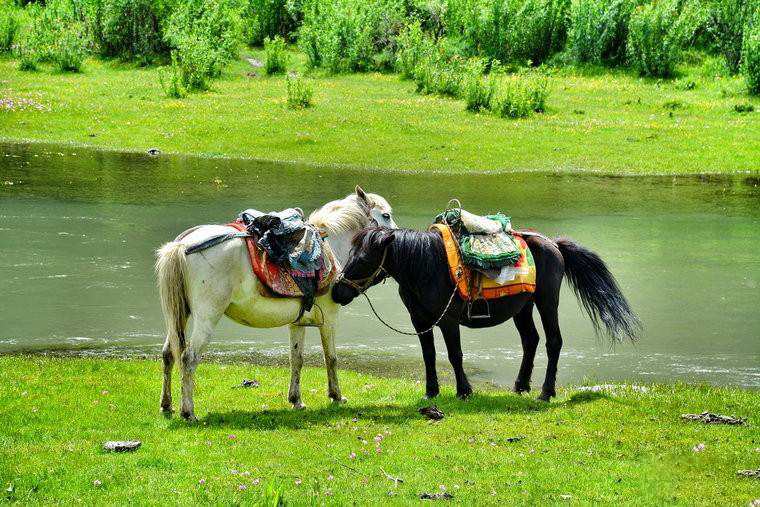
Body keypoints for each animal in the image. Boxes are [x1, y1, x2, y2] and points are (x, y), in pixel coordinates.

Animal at [155, 187, 398, 420]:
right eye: (386, 215)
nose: (397, 236)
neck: (330, 245)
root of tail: (183, 244)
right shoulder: (329, 319)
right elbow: (331, 358)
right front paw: (336, 396)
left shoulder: (298, 323)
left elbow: (296, 359)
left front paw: (296, 400)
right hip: (207, 317)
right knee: (188, 358)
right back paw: (188, 412)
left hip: (180, 314)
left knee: (168, 354)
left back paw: (167, 406)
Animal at [334, 228, 640, 402]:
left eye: (364, 259)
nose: (337, 292)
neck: (426, 267)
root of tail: (553, 244)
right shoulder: (420, 321)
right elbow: (428, 355)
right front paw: (431, 391)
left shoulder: (448, 321)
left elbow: (454, 355)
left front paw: (464, 391)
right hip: (523, 308)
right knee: (530, 341)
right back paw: (520, 386)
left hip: (546, 302)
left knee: (553, 342)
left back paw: (545, 392)